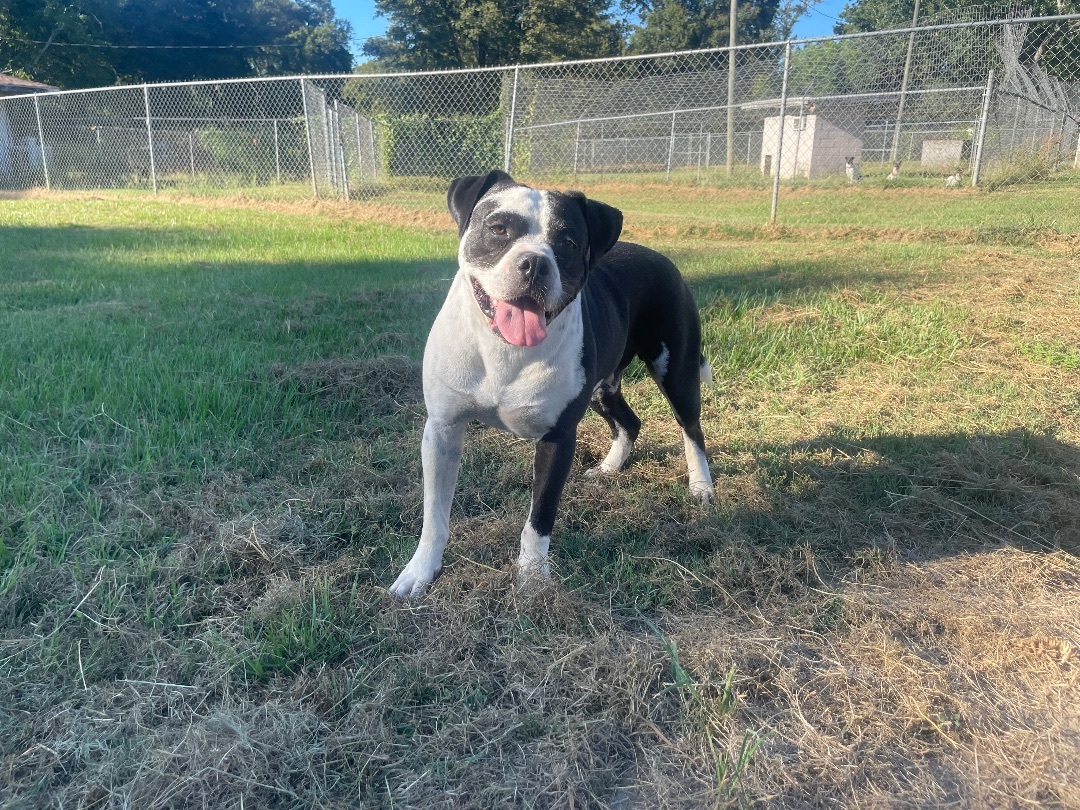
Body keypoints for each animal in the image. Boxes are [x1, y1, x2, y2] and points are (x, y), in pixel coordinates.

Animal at [390, 171, 717, 600]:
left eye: (569, 243)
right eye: (499, 228)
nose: (534, 264)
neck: (503, 350)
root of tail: (660, 257)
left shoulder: (557, 439)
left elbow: (538, 520)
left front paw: (532, 580)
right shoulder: (443, 430)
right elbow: (435, 514)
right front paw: (421, 571)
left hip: (675, 372)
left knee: (691, 428)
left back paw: (701, 486)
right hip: (602, 389)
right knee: (630, 422)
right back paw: (609, 468)